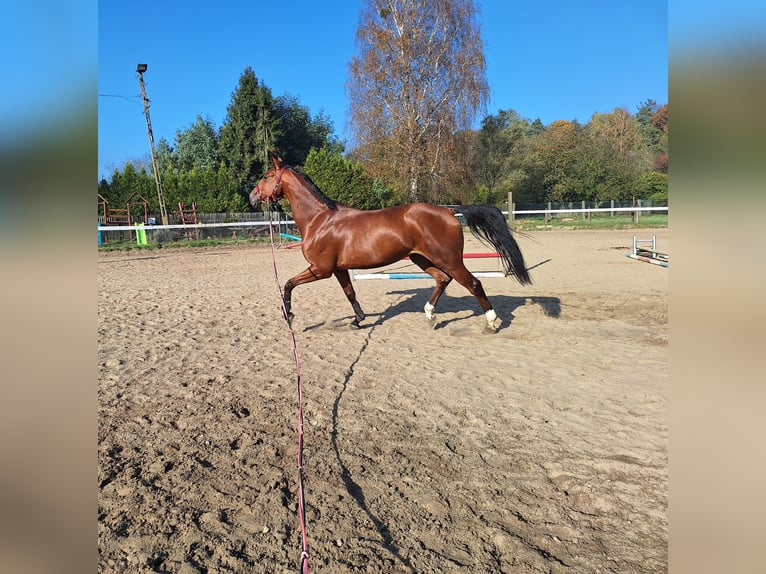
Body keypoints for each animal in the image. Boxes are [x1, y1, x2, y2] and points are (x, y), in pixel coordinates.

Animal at [252, 158, 536, 330]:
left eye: (266, 176)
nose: (252, 196)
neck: (320, 220)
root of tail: (449, 211)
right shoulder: (338, 269)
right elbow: (350, 293)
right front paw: (358, 320)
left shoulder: (320, 269)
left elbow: (288, 285)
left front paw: (288, 315)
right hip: (422, 258)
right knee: (442, 279)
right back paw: (430, 315)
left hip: (449, 259)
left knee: (473, 283)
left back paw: (491, 322)